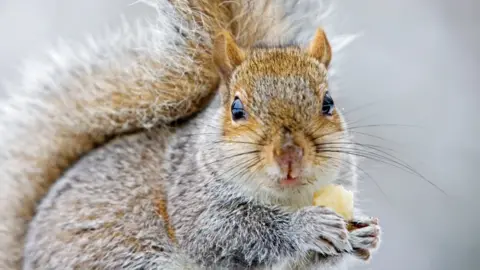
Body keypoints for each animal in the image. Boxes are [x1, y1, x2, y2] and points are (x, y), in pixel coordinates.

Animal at [0, 0, 382, 270]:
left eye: (328, 103)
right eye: (237, 109)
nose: (290, 156)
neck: (286, 198)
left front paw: (363, 232)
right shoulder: (191, 198)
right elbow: (224, 233)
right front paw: (306, 226)